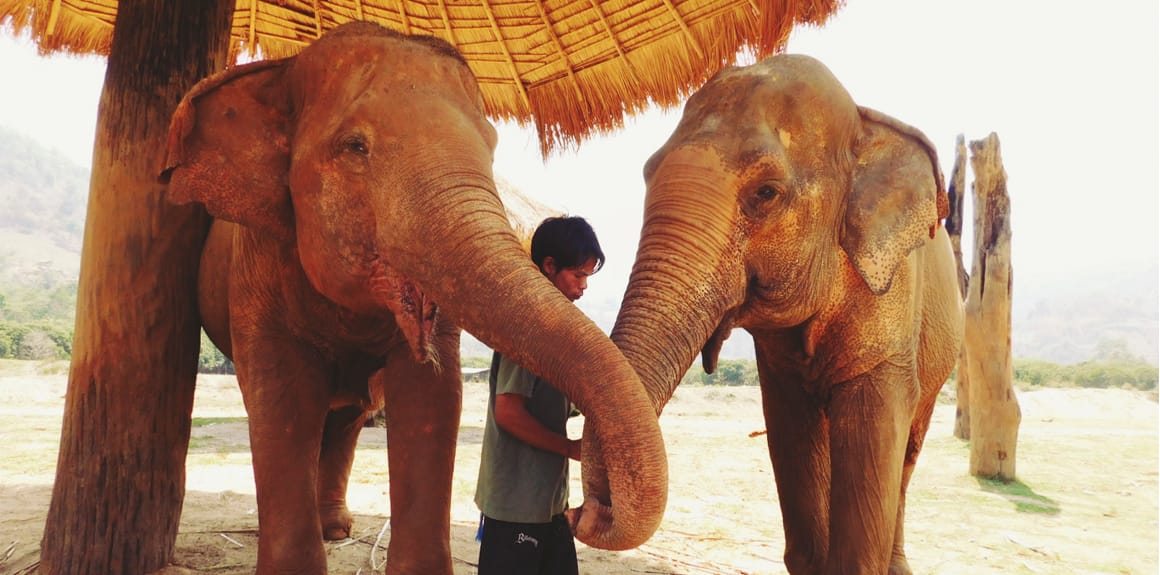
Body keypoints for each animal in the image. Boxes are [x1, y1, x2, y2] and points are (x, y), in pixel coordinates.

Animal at [159, 21, 666, 575]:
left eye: (491, 145)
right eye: (354, 146)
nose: (586, 513)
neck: (283, 69)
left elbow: (433, 396)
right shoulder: (256, 263)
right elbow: (281, 396)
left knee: (348, 417)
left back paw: (336, 528)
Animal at [605, 54, 963, 574]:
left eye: (766, 193)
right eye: (649, 172)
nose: (587, 512)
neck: (861, 127)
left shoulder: (893, 292)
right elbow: (792, 427)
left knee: (908, 454)